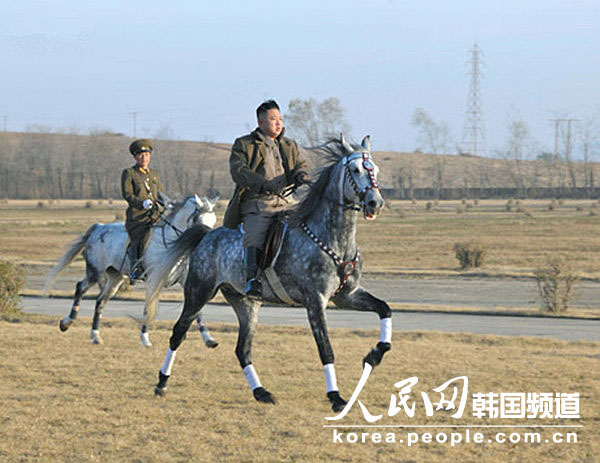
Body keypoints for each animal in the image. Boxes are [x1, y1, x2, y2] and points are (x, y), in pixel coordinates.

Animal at [44, 194, 220, 346]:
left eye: (213, 221)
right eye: (198, 219)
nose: (207, 241)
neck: (172, 243)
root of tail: (99, 227)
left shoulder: (185, 282)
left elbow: (197, 312)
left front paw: (208, 339)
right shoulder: (153, 280)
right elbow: (148, 307)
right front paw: (145, 337)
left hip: (115, 277)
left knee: (100, 301)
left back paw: (95, 335)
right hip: (95, 272)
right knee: (80, 287)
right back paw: (67, 322)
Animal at [144, 136, 392, 412]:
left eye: (375, 169)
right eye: (356, 170)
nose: (375, 203)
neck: (333, 239)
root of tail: (207, 235)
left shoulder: (347, 296)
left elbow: (385, 309)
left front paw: (374, 355)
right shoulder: (315, 302)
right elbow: (326, 349)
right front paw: (336, 397)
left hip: (246, 304)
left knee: (242, 351)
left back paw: (261, 392)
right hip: (199, 293)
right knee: (178, 333)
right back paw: (161, 382)